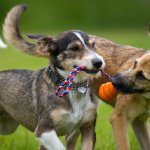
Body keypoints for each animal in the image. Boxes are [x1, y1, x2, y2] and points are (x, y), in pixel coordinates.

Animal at [0, 4, 105, 149]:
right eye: (74, 48)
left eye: (94, 45)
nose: (99, 62)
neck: (72, 87)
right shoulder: (44, 130)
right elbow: (60, 147)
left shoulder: (88, 128)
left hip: (7, 126)